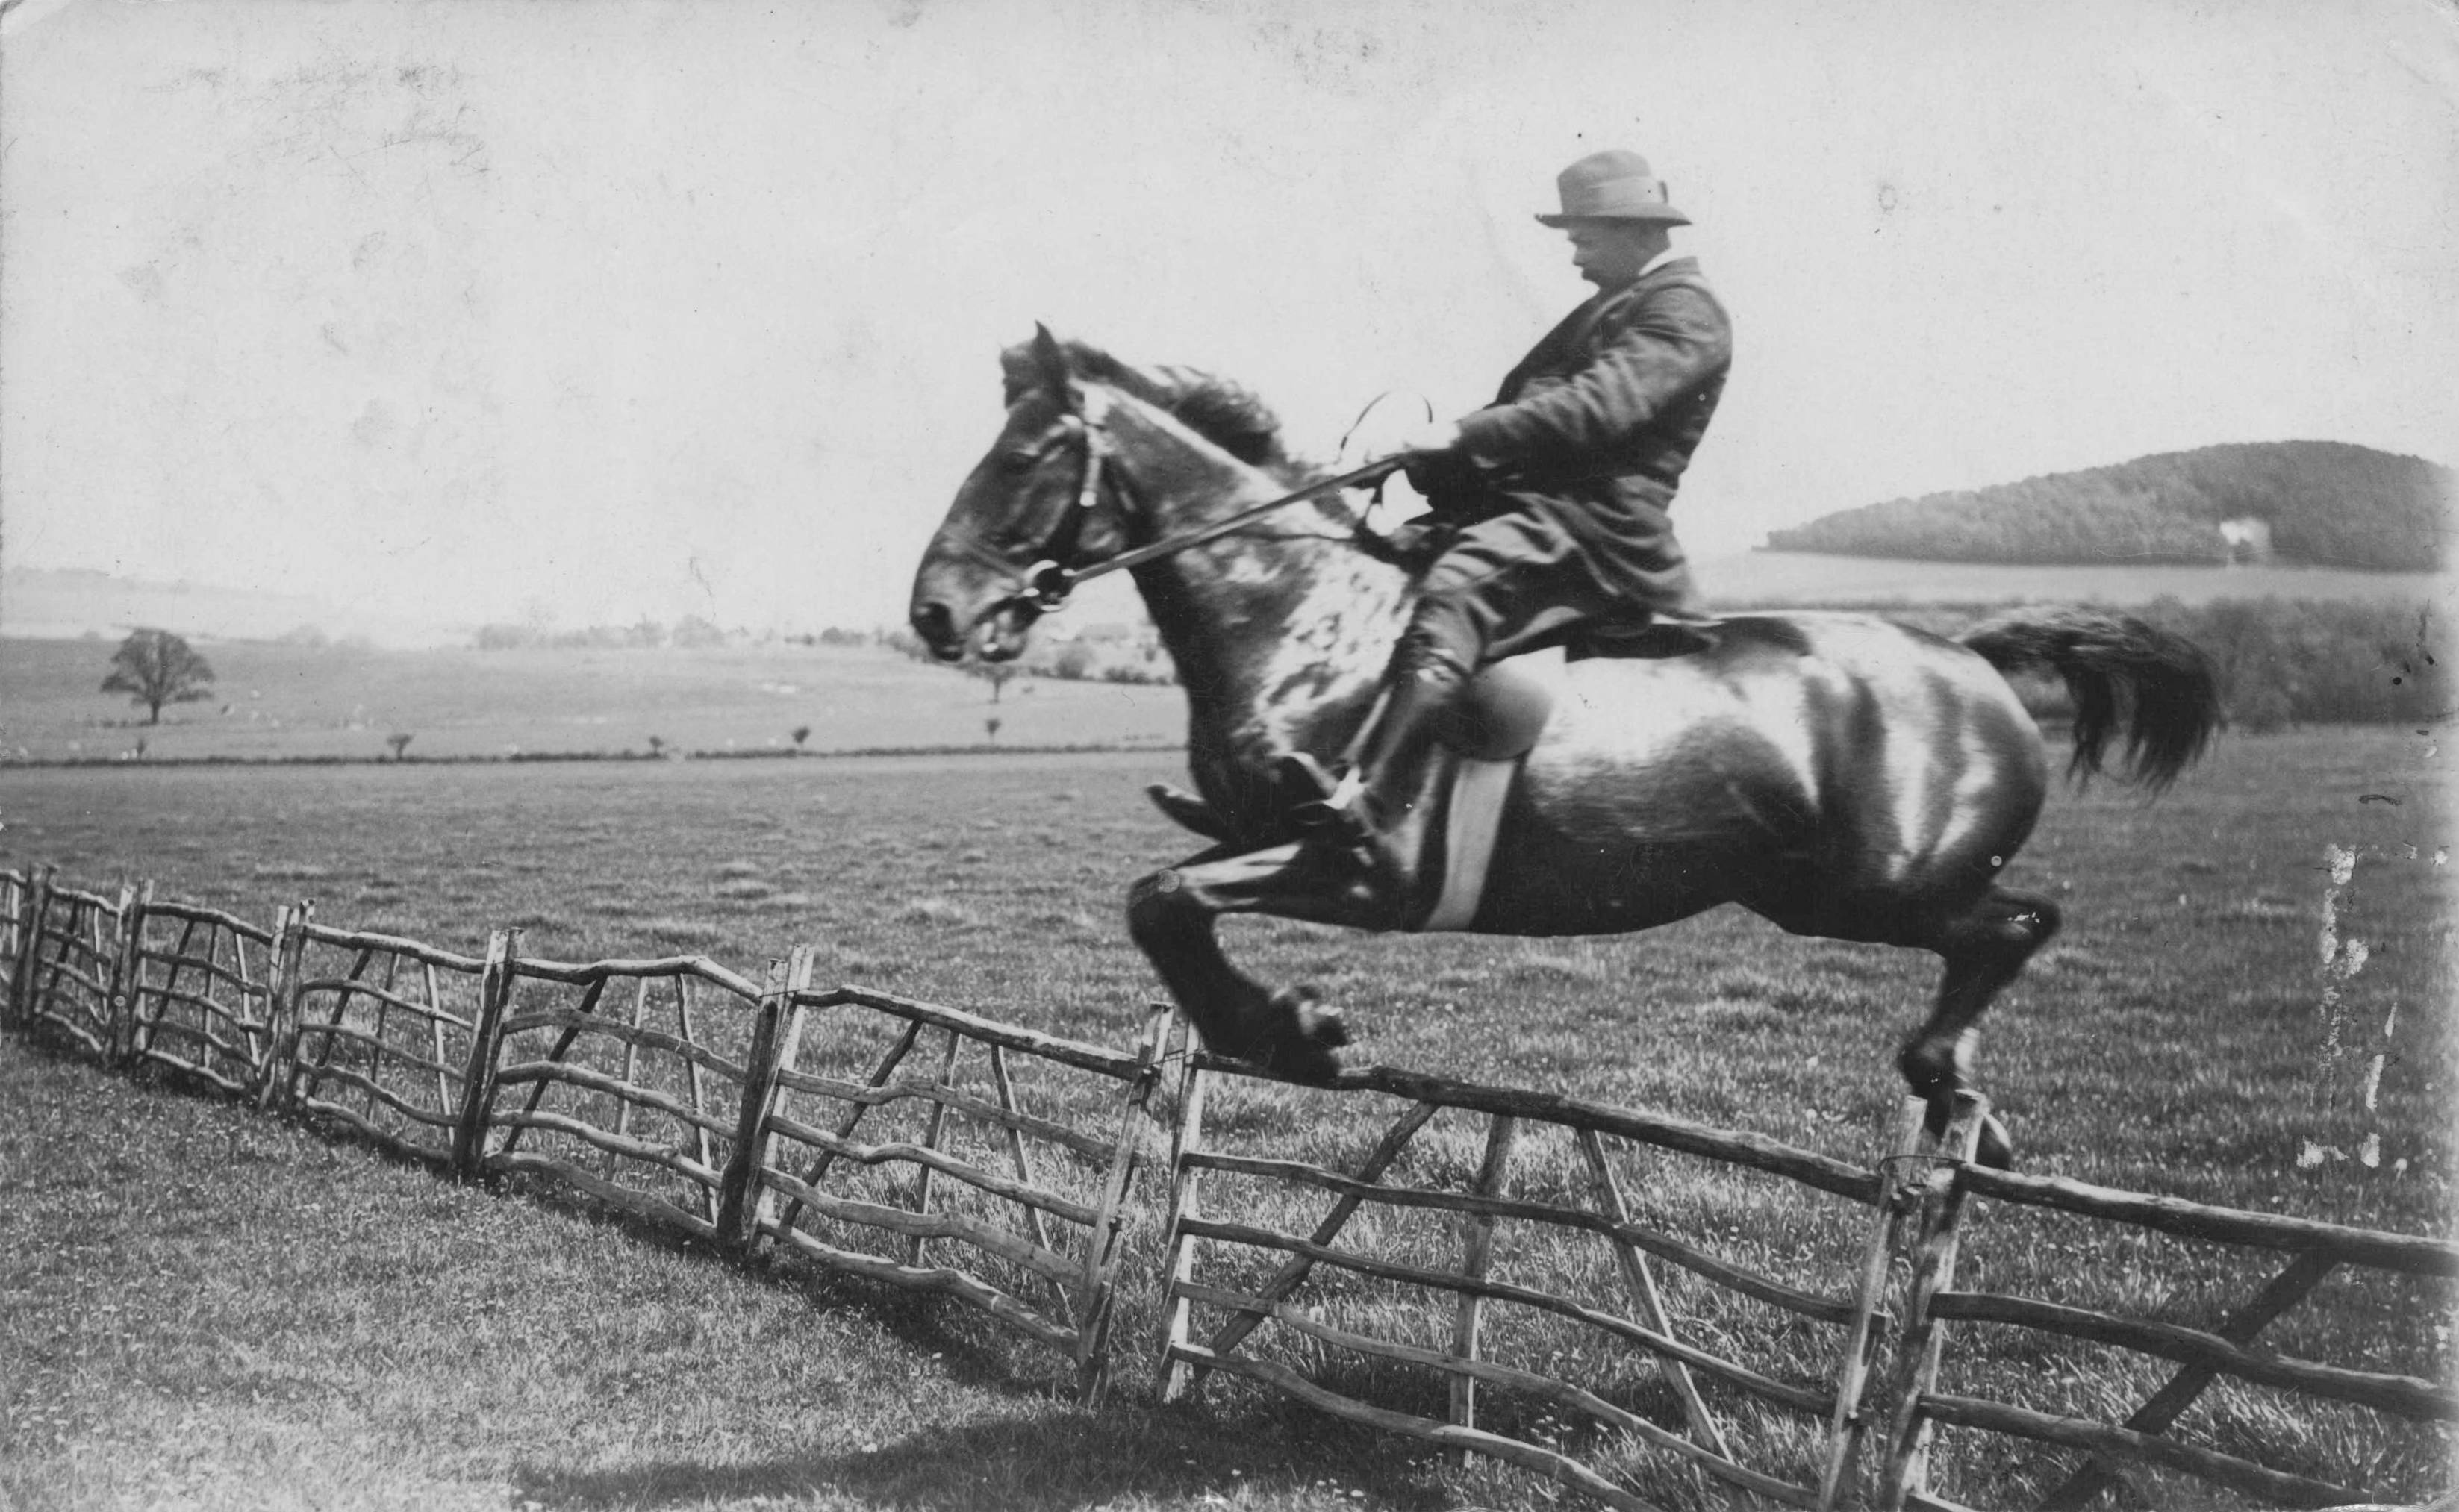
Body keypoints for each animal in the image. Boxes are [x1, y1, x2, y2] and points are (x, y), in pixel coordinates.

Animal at [908, 328, 2221, 1164]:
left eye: (1019, 458)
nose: (935, 615)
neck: (1299, 616)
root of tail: (1972, 655)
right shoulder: (1264, 846)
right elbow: (1165, 902)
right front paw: (1283, 1026)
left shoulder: (1357, 870)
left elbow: (1165, 899)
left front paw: (1297, 1031)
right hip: (1810, 892)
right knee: (2002, 932)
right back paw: (1971, 1111)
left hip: (1878, 887)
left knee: (2018, 922)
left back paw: (1953, 1085)